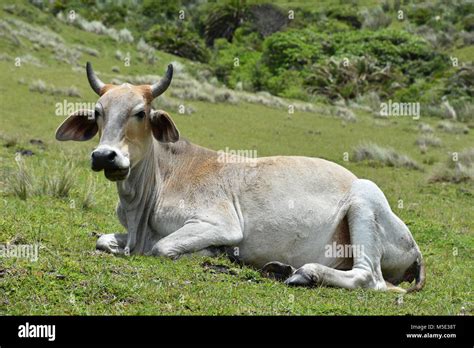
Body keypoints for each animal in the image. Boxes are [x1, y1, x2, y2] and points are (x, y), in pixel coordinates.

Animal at [55, 61, 426, 292]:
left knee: (368, 278)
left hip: (364, 201)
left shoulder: (219, 224)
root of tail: (415, 248)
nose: (105, 156)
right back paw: (280, 268)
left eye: (140, 113)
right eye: (98, 113)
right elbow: (104, 240)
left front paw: (218, 254)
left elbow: (162, 247)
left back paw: (304, 274)